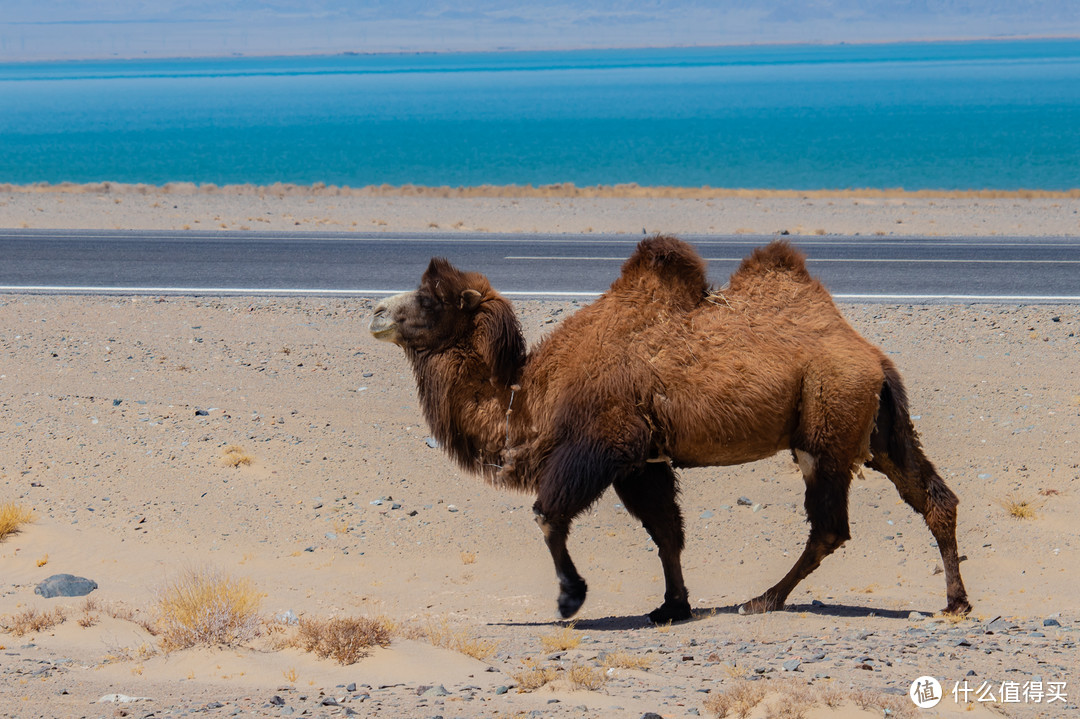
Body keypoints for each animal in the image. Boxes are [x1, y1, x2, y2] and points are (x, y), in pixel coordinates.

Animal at [371, 236, 972, 621]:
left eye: (431, 298)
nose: (375, 311)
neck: (530, 393)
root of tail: (872, 356)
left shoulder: (608, 442)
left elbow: (548, 514)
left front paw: (571, 598)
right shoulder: (644, 461)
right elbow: (667, 533)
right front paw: (672, 606)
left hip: (826, 421)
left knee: (830, 525)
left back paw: (763, 600)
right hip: (877, 427)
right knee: (932, 495)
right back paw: (956, 601)